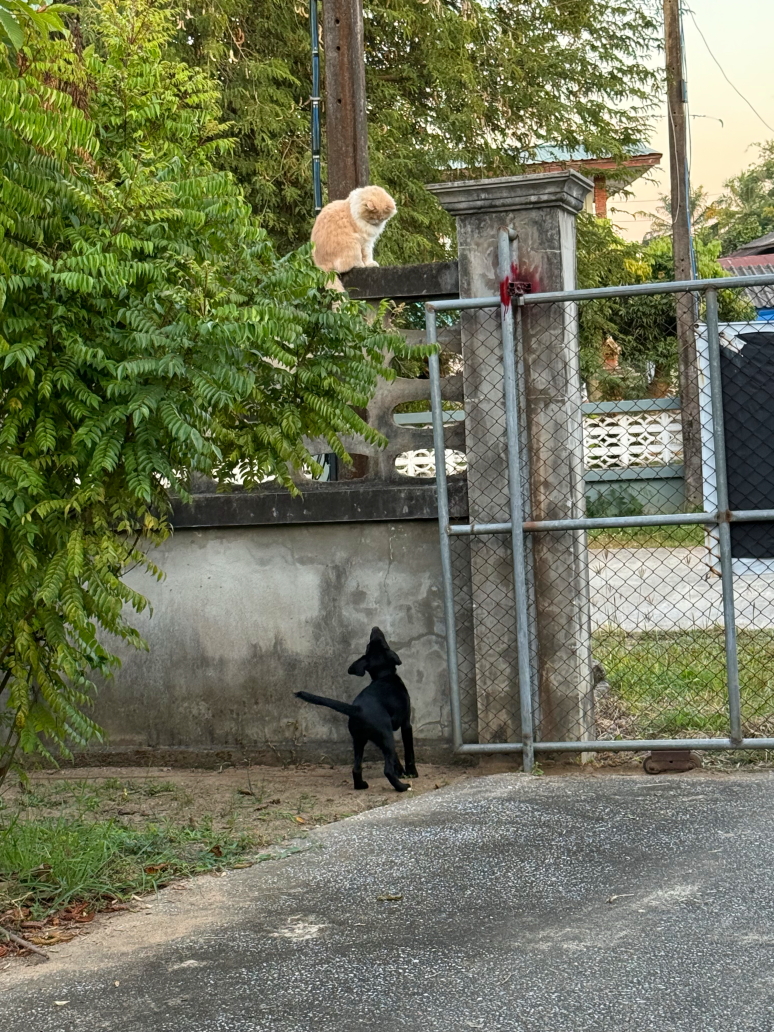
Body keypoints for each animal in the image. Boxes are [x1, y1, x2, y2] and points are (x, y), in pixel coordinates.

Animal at [295, 627, 418, 792]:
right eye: (383, 643)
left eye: (370, 645)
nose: (375, 628)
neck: (384, 675)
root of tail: (357, 708)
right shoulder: (406, 724)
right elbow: (409, 751)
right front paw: (411, 773)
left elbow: (396, 758)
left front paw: (401, 771)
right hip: (383, 737)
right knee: (386, 770)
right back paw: (402, 787)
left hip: (360, 740)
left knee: (356, 768)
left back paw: (361, 785)